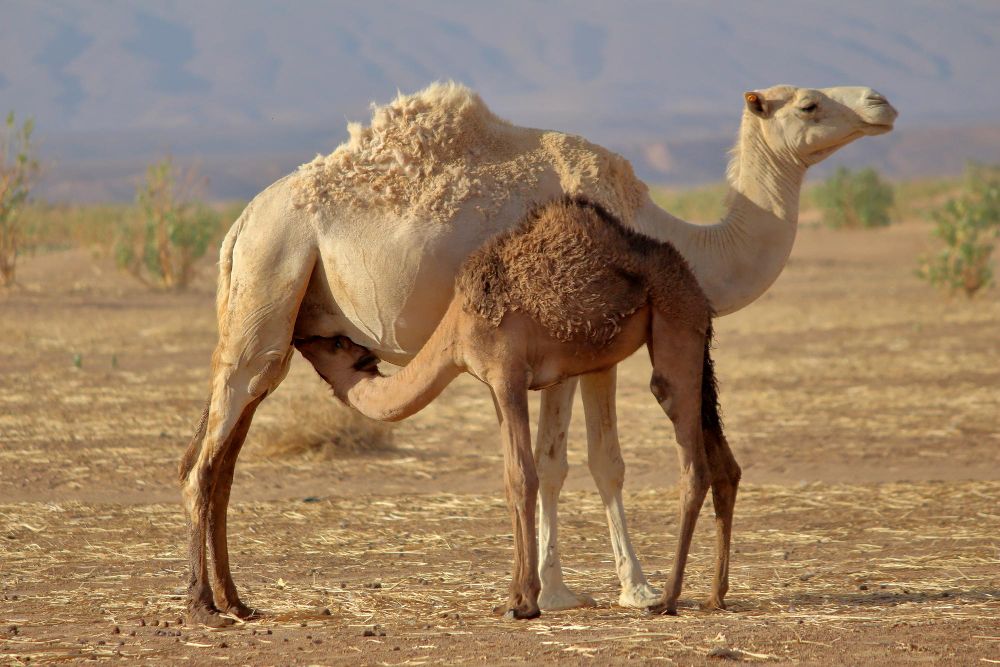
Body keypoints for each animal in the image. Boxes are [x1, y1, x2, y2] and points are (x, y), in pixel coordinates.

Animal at [296, 196, 735, 619]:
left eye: (336, 343)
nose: (301, 336)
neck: (455, 333)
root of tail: (693, 283)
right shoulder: (494, 385)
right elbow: (513, 476)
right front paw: (521, 595)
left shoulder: (508, 373)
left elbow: (522, 477)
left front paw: (521, 601)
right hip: (693, 338)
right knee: (724, 464)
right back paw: (715, 595)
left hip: (676, 318)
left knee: (690, 454)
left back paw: (668, 598)